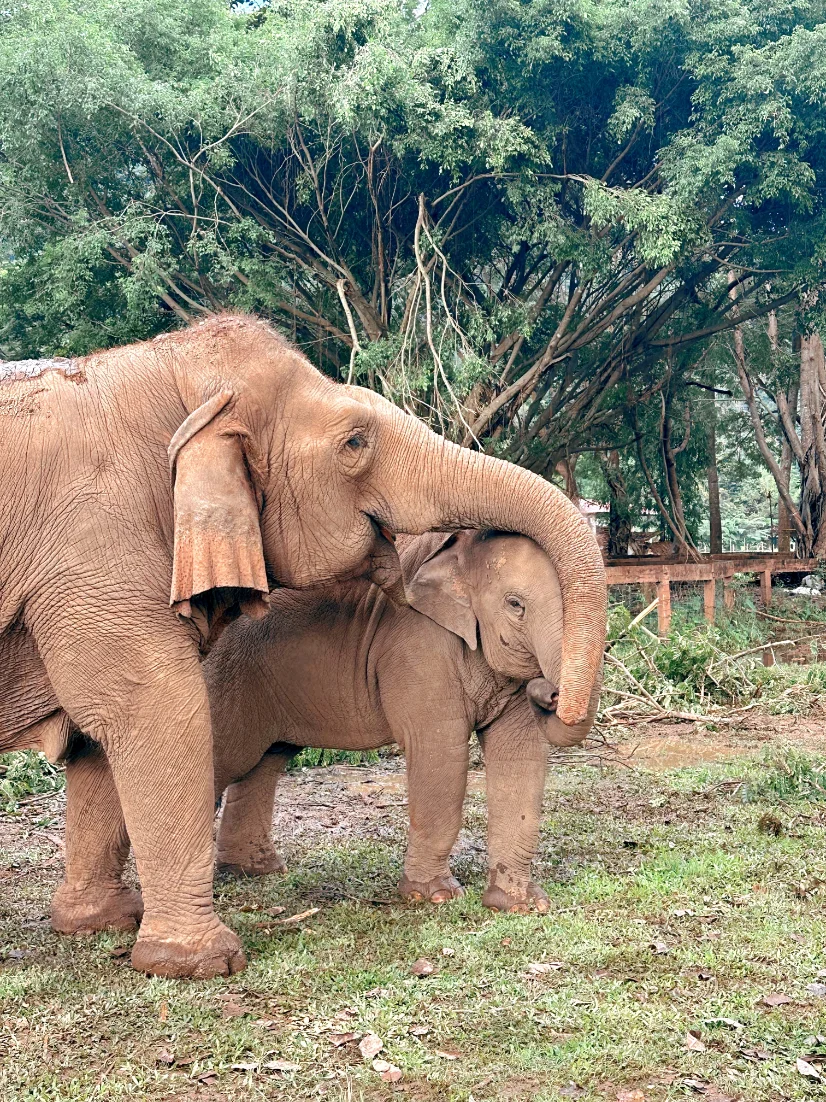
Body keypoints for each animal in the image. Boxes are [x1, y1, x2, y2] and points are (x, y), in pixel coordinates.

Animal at [207, 529, 600, 912]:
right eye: (515, 604)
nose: (548, 693)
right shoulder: (418, 649)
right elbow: (440, 751)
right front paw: (435, 896)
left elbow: (520, 755)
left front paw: (523, 904)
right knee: (230, 759)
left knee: (264, 762)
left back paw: (255, 871)